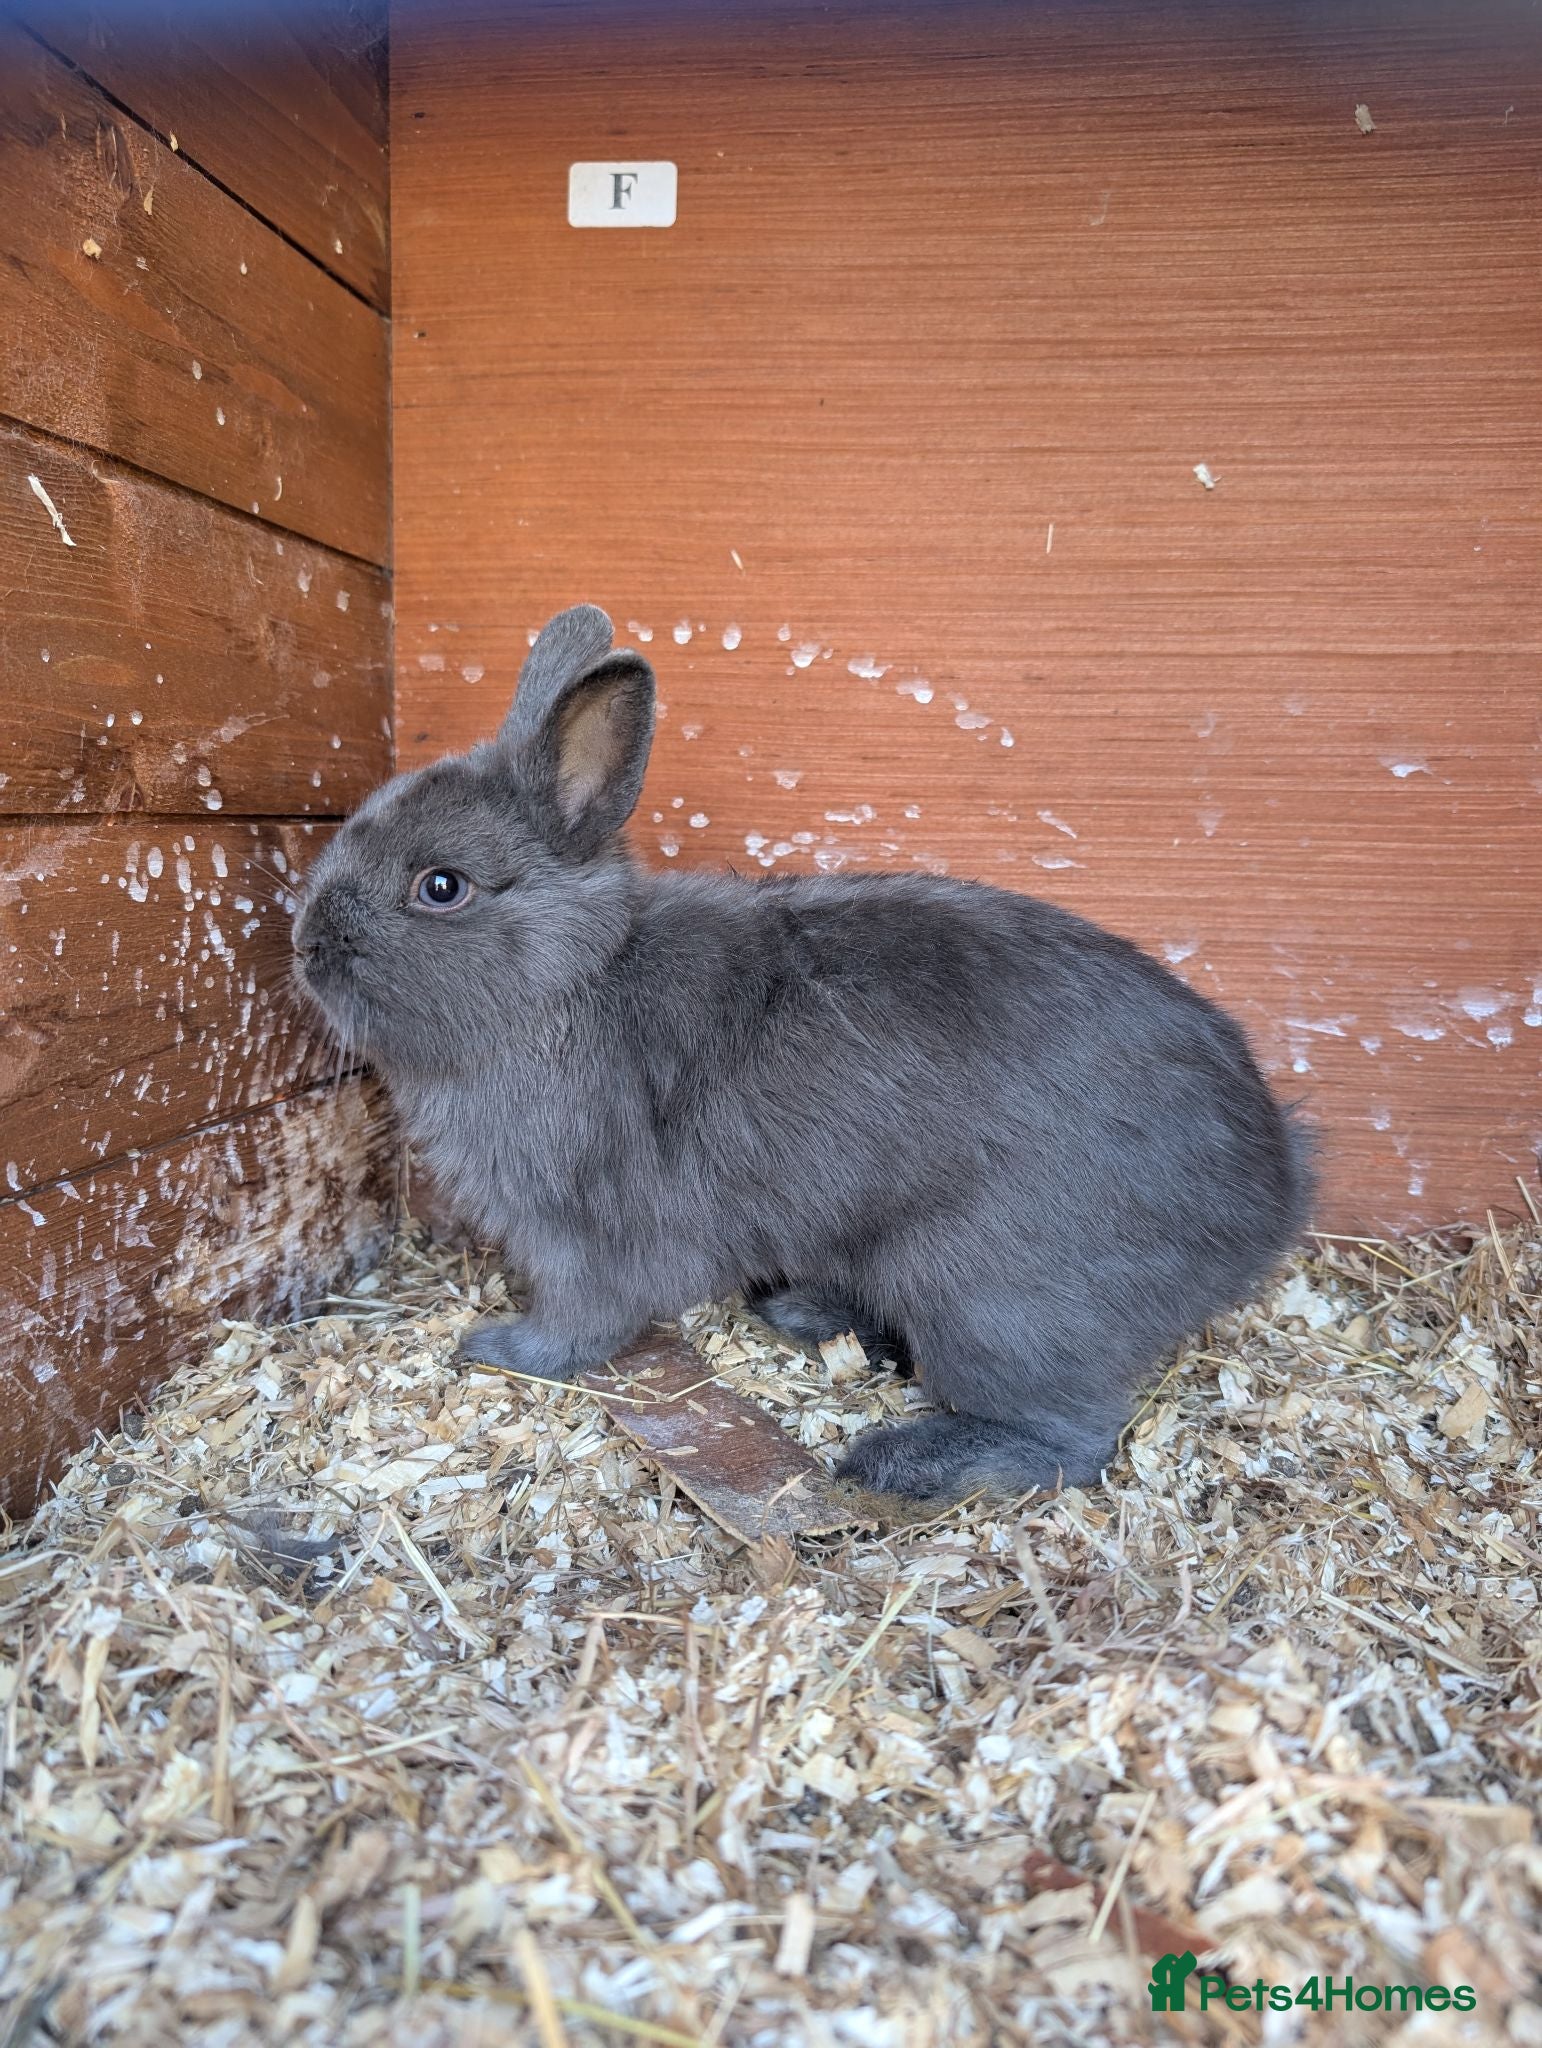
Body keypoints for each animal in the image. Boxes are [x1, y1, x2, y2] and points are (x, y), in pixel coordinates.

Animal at [294, 603, 1312, 1501]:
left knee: (1072, 1437)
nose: (304, 942)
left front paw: (498, 1350)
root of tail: (1274, 1198)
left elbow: (583, 1321)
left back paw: (902, 1464)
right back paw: (804, 1312)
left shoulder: (587, 1235)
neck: (572, 981)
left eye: (441, 887)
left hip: (995, 1302)